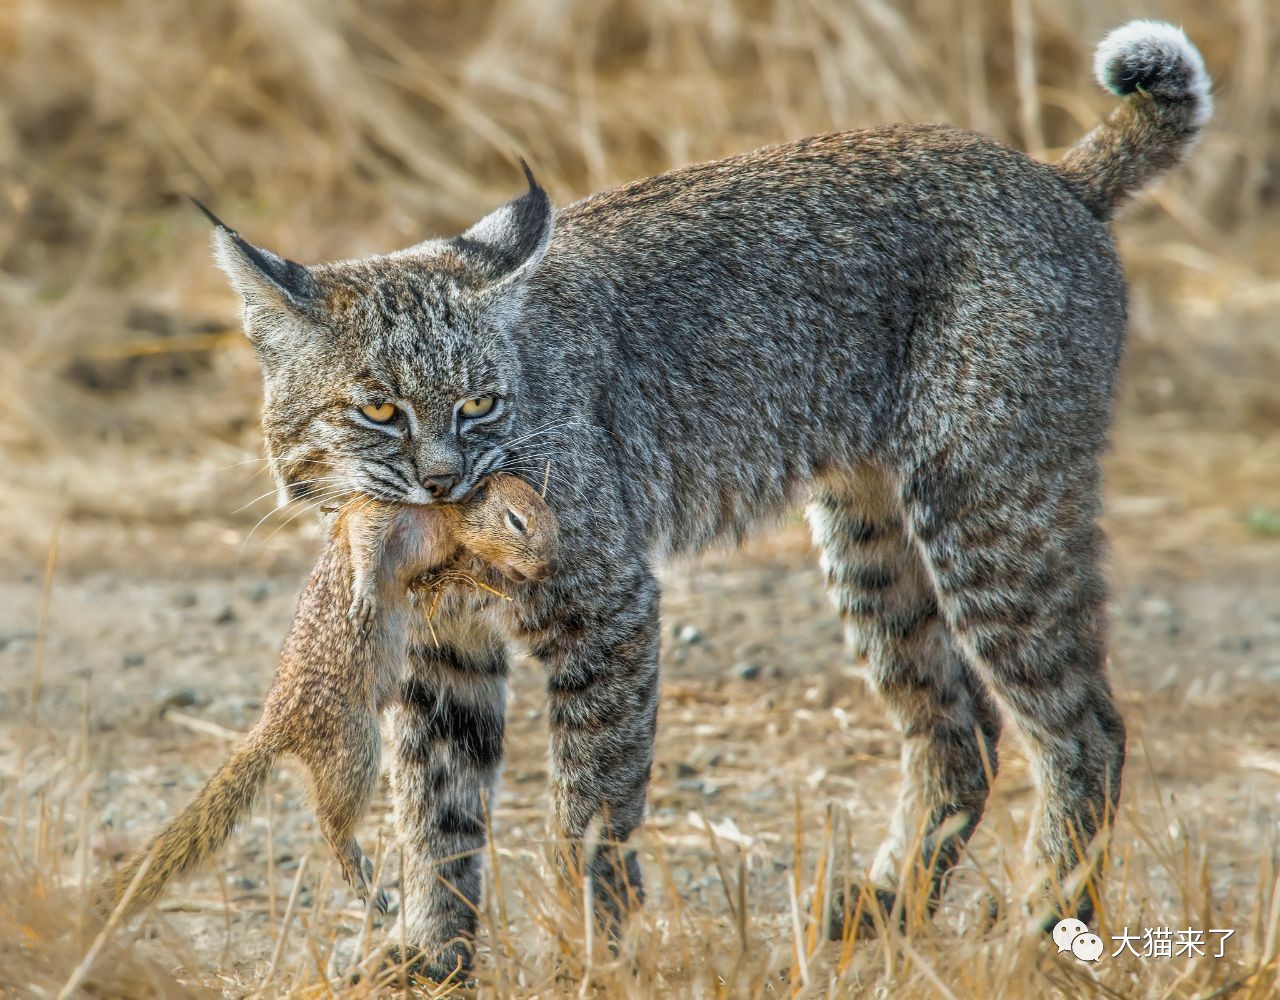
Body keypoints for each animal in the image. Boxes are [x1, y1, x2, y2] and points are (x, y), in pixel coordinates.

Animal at [99, 471, 560, 916]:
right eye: (516, 520)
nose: (549, 568)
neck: (446, 518)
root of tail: (277, 719)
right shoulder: (381, 512)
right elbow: (363, 540)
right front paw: (366, 595)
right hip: (356, 746)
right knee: (328, 819)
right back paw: (360, 875)